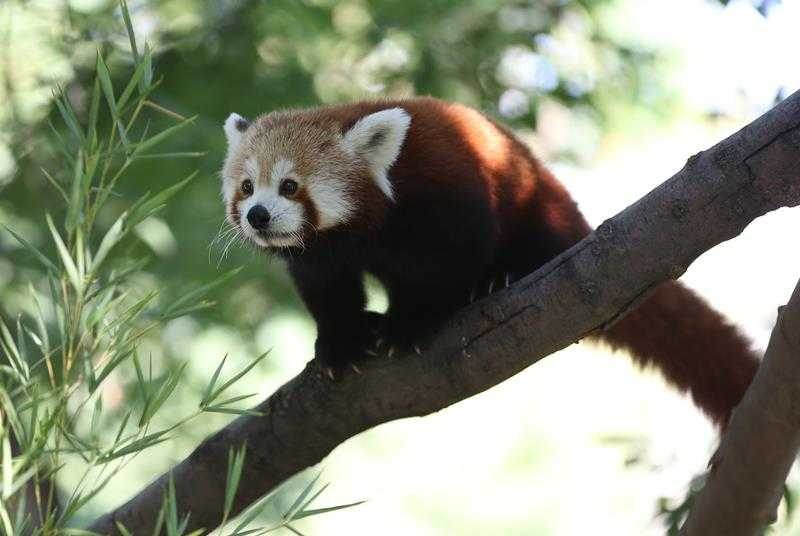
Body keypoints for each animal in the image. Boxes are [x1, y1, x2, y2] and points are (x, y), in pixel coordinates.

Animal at [222, 95, 760, 422]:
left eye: (290, 186)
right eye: (247, 186)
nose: (258, 216)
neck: (363, 227)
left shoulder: (443, 190)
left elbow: (451, 263)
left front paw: (410, 323)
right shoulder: (323, 250)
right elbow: (327, 289)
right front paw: (343, 341)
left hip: (540, 209)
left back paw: (496, 280)